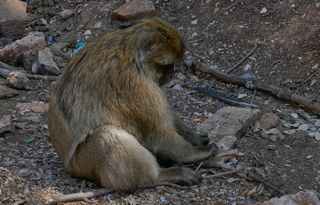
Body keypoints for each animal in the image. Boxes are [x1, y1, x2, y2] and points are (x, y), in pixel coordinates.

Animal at [48, 17, 218, 192]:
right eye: (167, 64)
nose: (172, 73)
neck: (132, 55)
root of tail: (69, 167)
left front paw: (194, 137)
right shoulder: (135, 83)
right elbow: (157, 134)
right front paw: (196, 152)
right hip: (84, 162)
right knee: (106, 134)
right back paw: (162, 175)